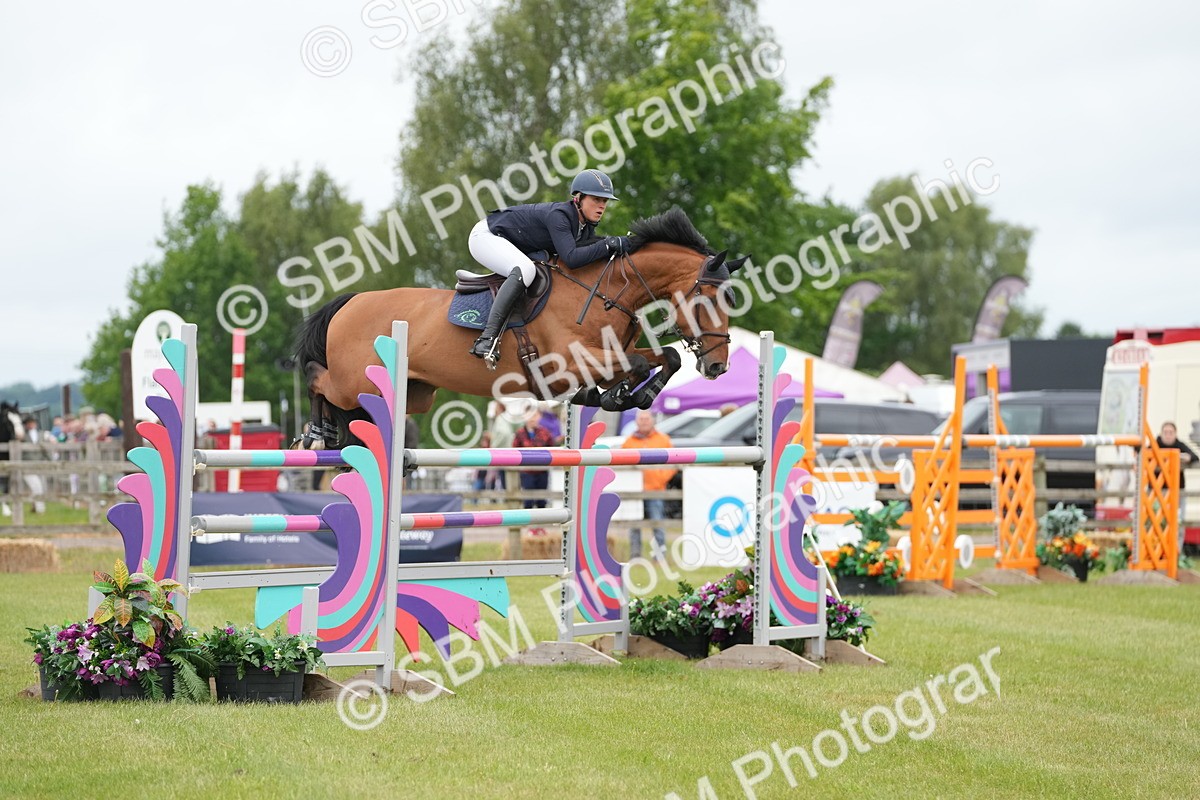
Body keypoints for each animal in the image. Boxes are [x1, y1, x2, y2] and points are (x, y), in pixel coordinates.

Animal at [294, 207, 746, 449]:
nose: (718, 367)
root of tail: (351, 302)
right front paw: (616, 396)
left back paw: (331, 436)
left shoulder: (609, 353)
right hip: (355, 381)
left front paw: (627, 396)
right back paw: (316, 432)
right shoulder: (566, 363)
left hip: (413, 394)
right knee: (318, 378)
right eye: (708, 299)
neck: (606, 291)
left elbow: (664, 357)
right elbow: (636, 364)